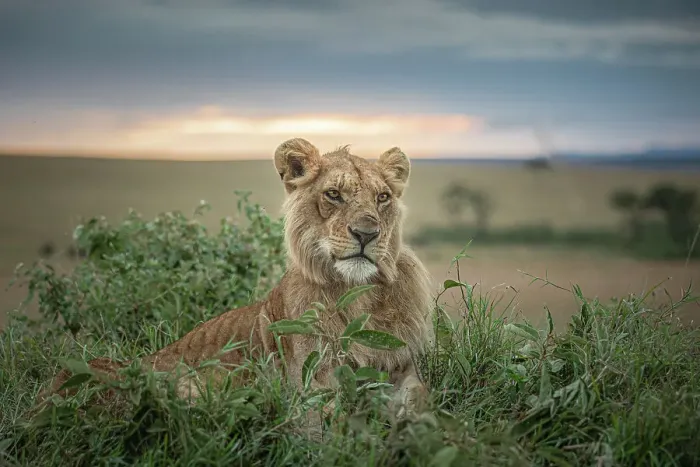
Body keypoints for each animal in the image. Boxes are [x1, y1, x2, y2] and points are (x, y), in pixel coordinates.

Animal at [36, 138, 435, 419]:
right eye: (333, 195)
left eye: (383, 197)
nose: (367, 233)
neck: (358, 295)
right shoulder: (308, 383)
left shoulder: (405, 366)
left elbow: (421, 397)